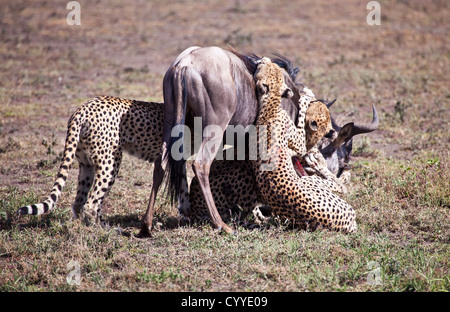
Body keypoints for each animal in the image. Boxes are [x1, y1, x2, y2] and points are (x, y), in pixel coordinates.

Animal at [17, 95, 189, 227]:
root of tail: (84, 107)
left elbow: (183, 185)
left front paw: (187, 213)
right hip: (110, 163)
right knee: (91, 203)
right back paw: (105, 230)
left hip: (86, 164)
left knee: (79, 202)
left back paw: (85, 227)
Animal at [250, 58, 356, 233]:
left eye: (270, 66)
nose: (263, 59)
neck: (270, 107)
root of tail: (349, 225)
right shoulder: (298, 140)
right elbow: (301, 122)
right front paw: (306, 98)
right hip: (313, 181)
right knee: (338, 184)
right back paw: (319, 164)